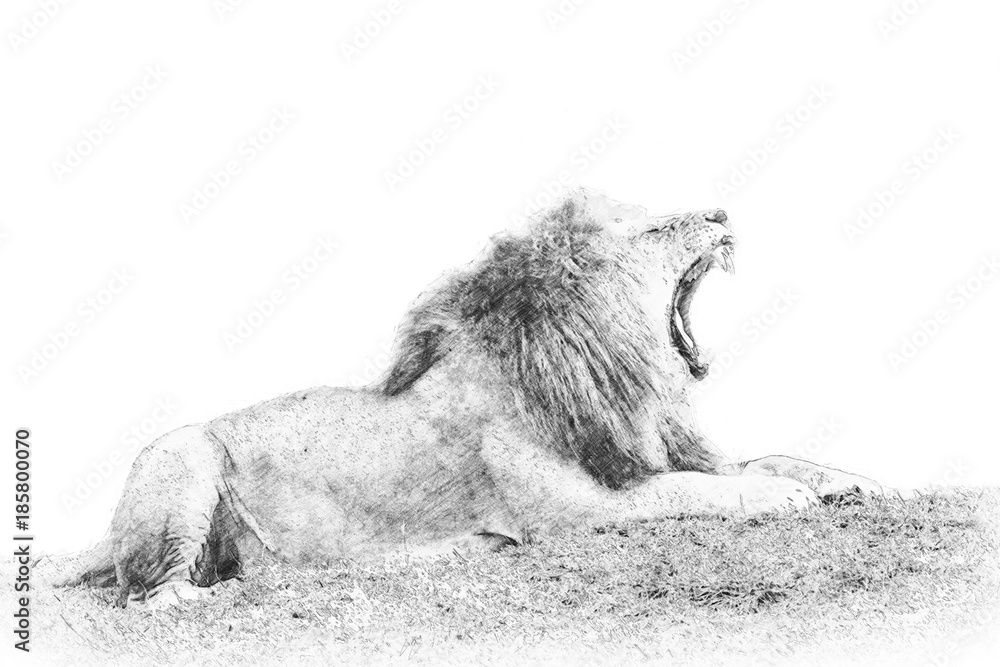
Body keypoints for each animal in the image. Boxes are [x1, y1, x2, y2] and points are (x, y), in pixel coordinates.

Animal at [52, 189, 884, 606]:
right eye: (654, 229)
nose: (720, 213)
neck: (625, 375)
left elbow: (767, 458)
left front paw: (853, 481)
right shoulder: (575, 513)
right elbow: (690, 490)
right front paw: (780, 497)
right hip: (181, 452)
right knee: (144, 595)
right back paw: (212, 597)